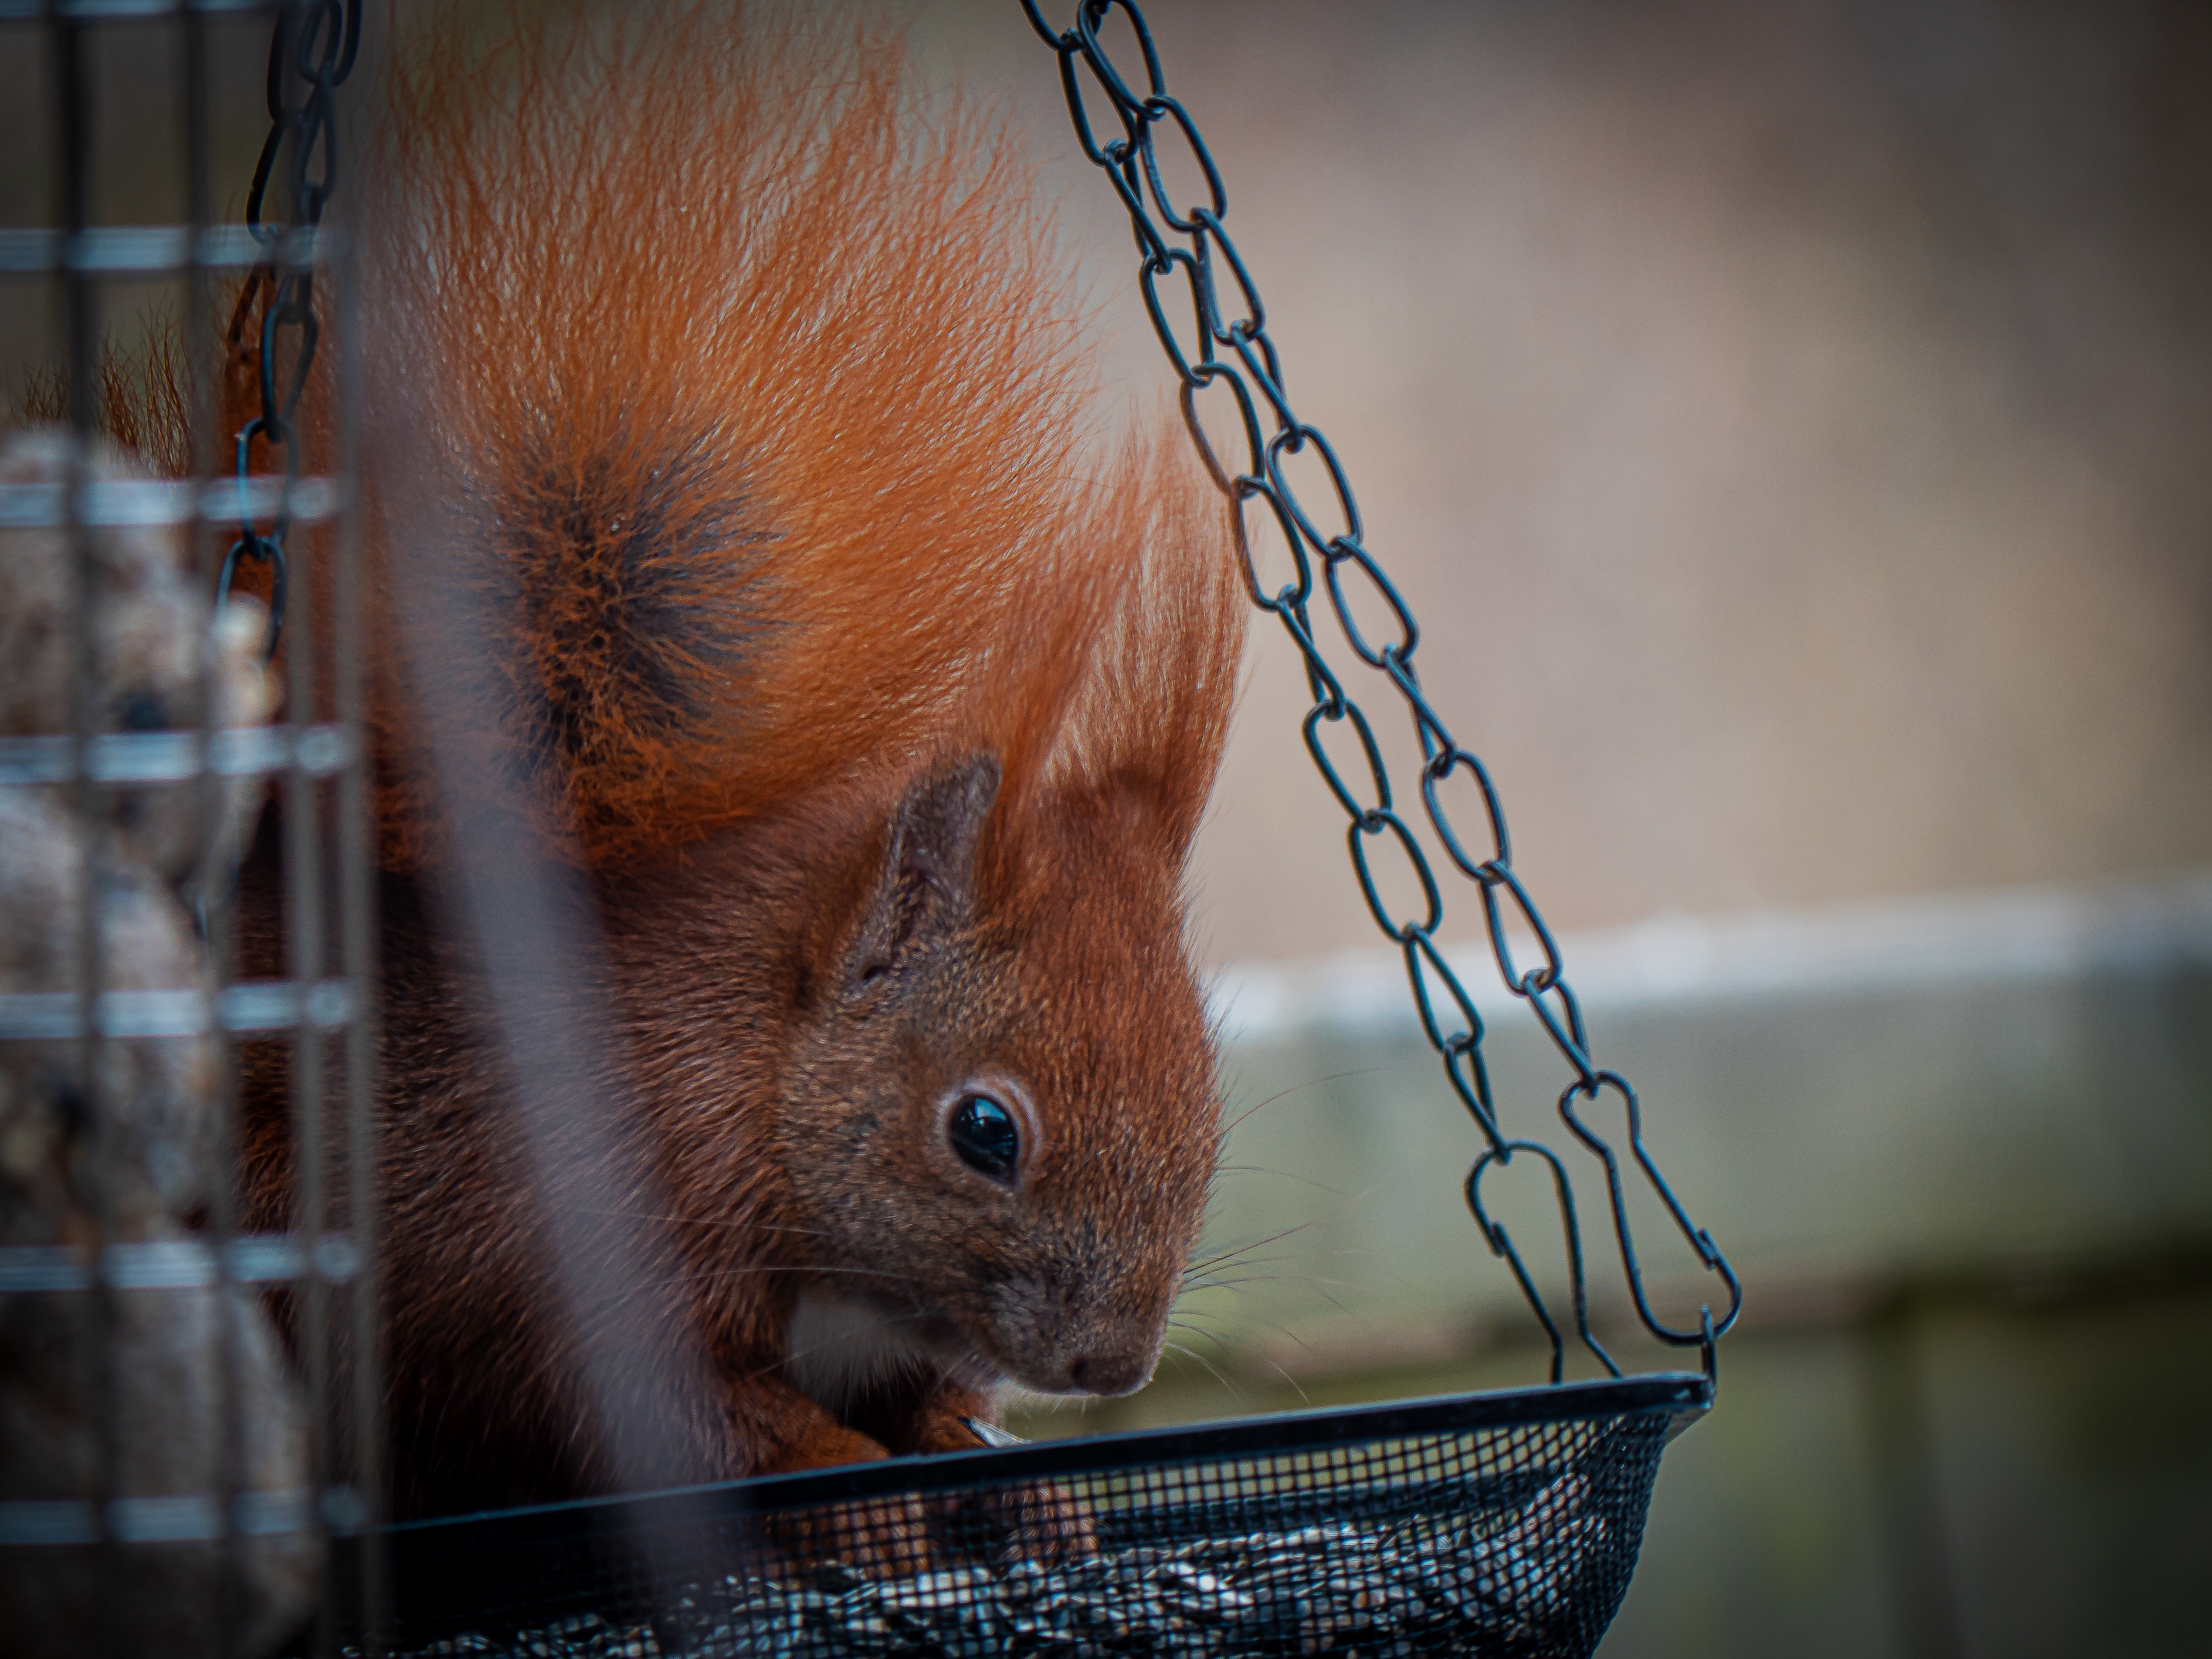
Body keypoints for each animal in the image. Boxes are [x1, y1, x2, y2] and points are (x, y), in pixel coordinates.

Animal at [207, 1, 1247, 1544]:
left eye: (1206, 1104)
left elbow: (916, 1404)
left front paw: (1010, 1473)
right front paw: (856, 1496)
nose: (1109, 1367)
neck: (758, 1060)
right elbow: (690, 1419)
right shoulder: (573, 1235)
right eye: (984, 1129)